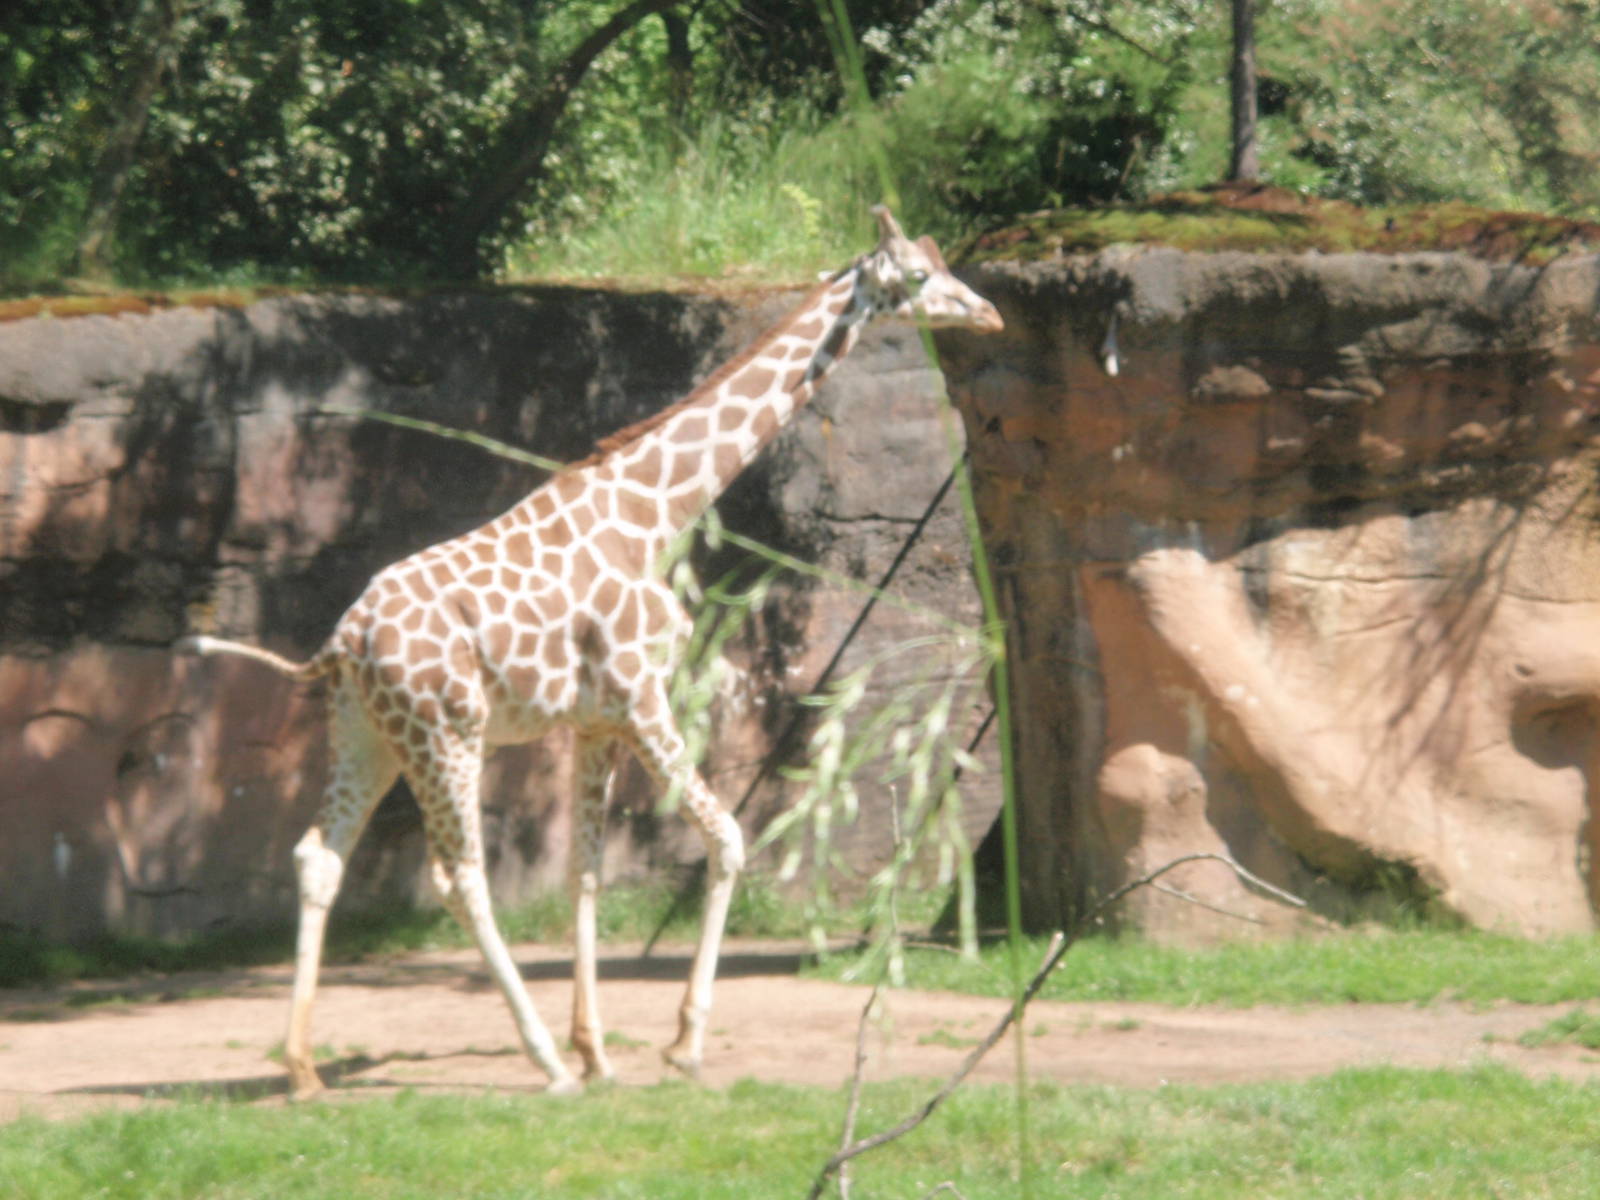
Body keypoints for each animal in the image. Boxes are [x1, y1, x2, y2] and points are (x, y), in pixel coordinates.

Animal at [178, 206, 1004, 1098]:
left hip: (367, 734)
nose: (989, 312)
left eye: (942, 264)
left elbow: (585, 870)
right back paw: (541, 1061)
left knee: (317, 858)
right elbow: (727, 839)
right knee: (459, 877)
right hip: (446, 736)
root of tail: (344, 641)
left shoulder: (594, 722)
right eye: (918, 277)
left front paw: (599, 1048)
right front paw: (679, 1043)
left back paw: (302, 1068)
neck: (654, 511)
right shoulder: (644, 700)